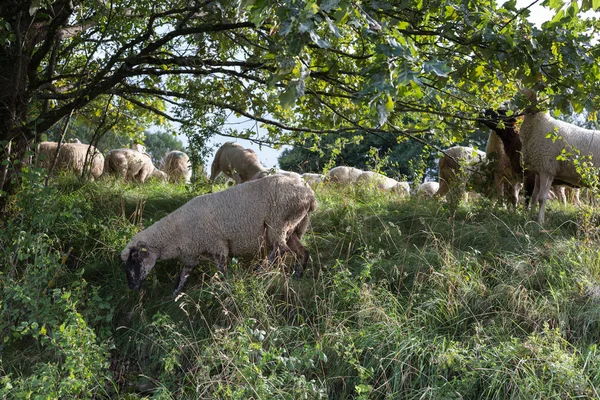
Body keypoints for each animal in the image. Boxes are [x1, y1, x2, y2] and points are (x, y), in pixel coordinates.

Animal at [122, 174, 318, 294]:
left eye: (135, 258)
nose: (131, 286)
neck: (174, 233)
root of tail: (310, 195)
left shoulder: (217, 244)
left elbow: (222, 269)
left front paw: (223, 286)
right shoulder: (191, 254)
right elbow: (183, 277)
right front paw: (175, 295)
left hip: (278, 222)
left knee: (280, 249)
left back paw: (259, 271)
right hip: (295, 227)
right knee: (302, 251)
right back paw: (298, 275)